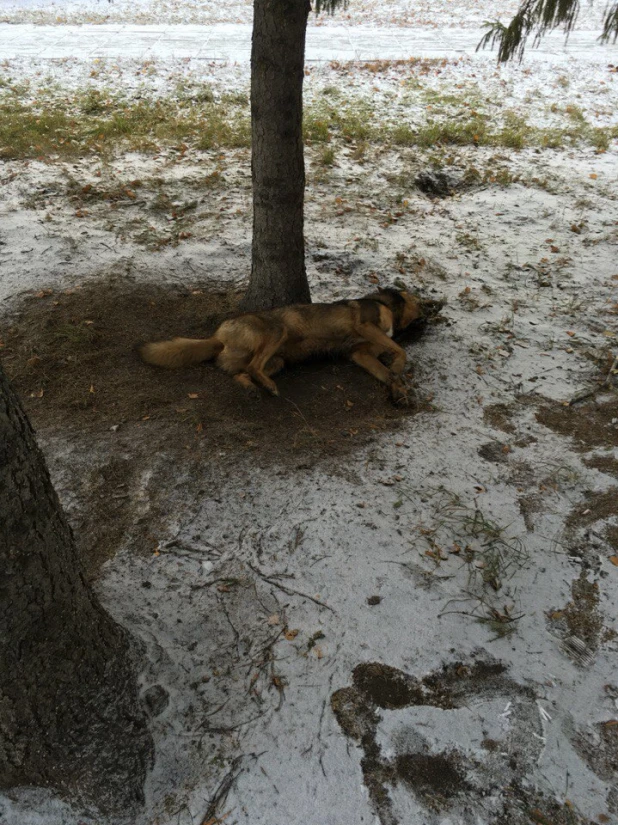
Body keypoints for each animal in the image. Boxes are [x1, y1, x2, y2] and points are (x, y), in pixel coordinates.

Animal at [138, 288, 422, 404]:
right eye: (416, 299)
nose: (431, 305)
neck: (384, 303)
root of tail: (218, 337)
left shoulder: (360, 354)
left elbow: (387, 373)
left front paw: (399, 390)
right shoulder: (365, 325)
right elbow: (399, 349)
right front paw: (399, 366)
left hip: (278, 360)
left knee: (243, 372)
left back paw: (253, 388)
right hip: (278, 332)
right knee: (253, 367)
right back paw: (269, 387)